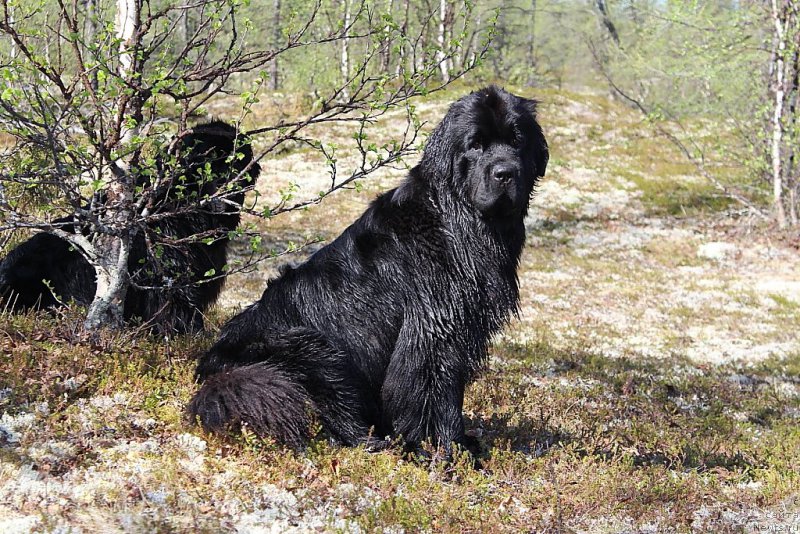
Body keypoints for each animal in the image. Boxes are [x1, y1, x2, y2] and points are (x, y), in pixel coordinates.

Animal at [189, 86, 552, 454]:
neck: (457, 220)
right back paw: (374, 443)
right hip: (310, 349)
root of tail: (209, 371)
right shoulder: (432, 331)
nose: (505, 172)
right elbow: (434, 393)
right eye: (475, 145)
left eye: (517, 141)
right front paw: (445, 451)